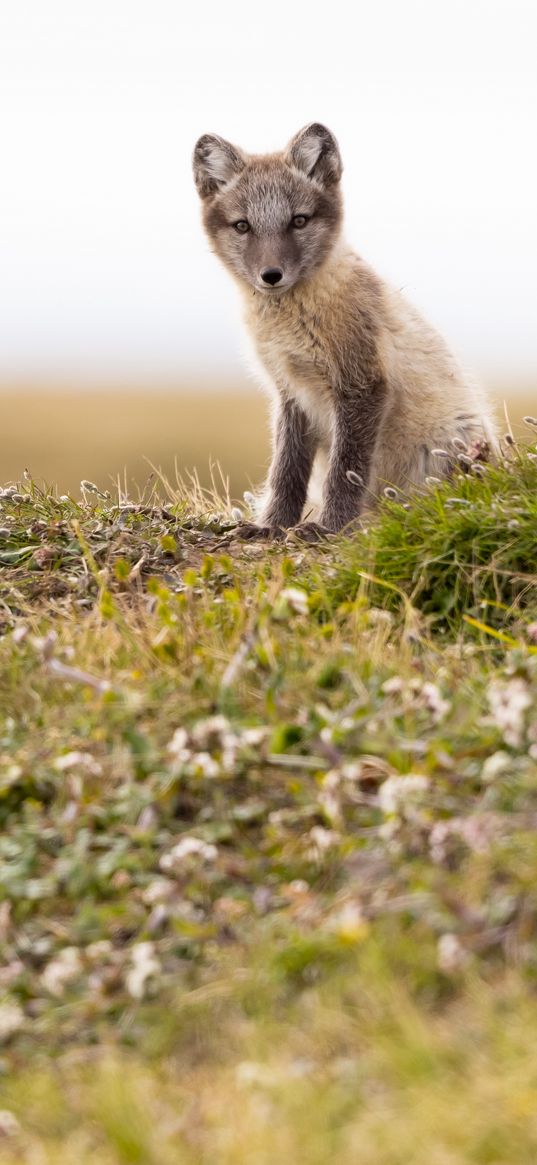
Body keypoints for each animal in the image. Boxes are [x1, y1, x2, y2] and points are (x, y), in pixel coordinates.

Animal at [191, 118, 493, 535]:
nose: (271, 275)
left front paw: (330, 529)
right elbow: (285, 472)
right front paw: (272, 526)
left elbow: (345, 469)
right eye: (243, 226)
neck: (290, 322)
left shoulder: (362, 383)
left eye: (298, 220)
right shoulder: (291, 393)